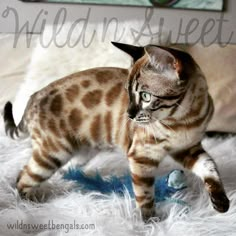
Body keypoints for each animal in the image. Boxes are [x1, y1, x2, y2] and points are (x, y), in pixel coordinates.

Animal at [3, 42, 229, 221]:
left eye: (145, 96)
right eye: (129, 94)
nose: (129, 115)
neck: (185, 120)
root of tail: (32, 97)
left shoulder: (188, 148)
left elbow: (210, 168)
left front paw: (221, 203)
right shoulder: (142, 157)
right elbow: (145, 194)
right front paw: (151, 222)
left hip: (81, 152)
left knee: (48, 170)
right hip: (53, 153)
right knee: (24, 177)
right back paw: (32, 202)